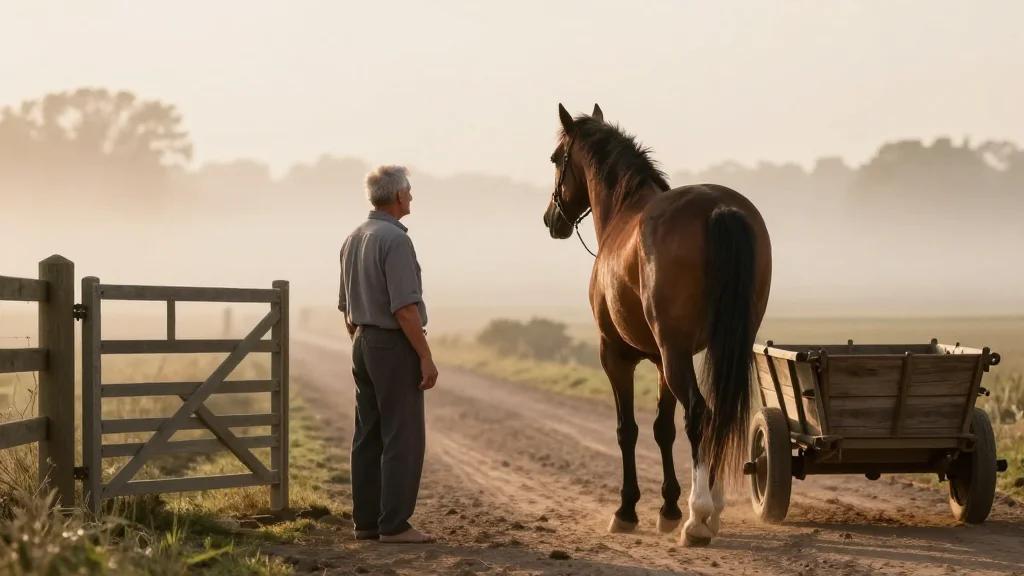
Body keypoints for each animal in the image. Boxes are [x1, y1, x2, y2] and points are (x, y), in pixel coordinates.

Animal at [541, 103, 772, 546]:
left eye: (556, 159)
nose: (551, 219)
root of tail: (717, 208)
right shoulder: (663, 360)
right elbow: (663, 428)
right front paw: (667, 508)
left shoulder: (617, 355)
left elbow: (628, 429)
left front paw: (627, 510)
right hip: (723, 345)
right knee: (721, 412)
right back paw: (712, 507)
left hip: (674, 352)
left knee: (700, 413)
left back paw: (698, 518)